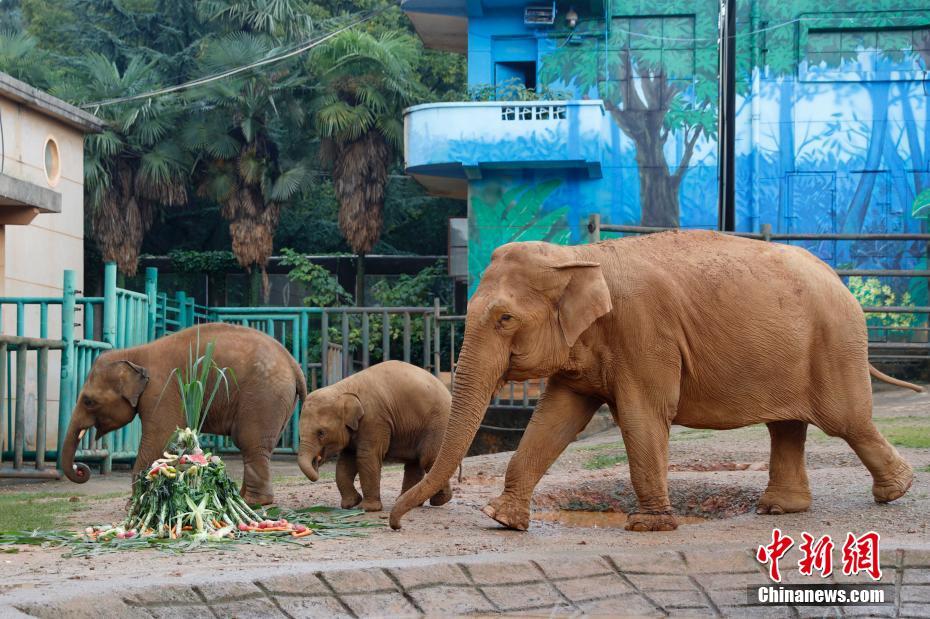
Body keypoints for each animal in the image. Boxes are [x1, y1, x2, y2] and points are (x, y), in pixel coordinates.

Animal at [59, 322, 306, 506]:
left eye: (88, 401)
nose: (81, 469)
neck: (133, 353)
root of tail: (294, 364)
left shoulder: (161, 390)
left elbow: (159, 437)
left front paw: (135, 504)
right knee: (258, 448)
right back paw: (243, 498)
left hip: (263, 397)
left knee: (250, 442)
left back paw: (253, 502)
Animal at [296, 360, 452, 512]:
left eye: (321, 433)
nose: (316, 463)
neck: (343, 388)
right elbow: (345, 462)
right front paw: (350, 504)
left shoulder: (374, 419)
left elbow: (367, 456)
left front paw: (367, 508)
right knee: (414, 464)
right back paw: (406, 502)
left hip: (438, 424)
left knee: (428, 459)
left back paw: (439, 501)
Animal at [388, 230, 916, 532]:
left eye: (504, 319)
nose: (395, 524)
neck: (578, 256)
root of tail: (842, 282)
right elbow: (556, 418)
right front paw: (502, 520)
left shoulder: (644, 331)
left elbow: (643, 415)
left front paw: (648, 526)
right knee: (787, 426)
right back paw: (778, 510)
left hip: (833, 345)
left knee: (846, 421)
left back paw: (895, 493)